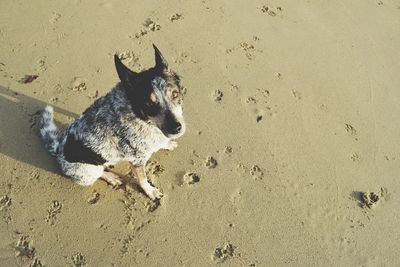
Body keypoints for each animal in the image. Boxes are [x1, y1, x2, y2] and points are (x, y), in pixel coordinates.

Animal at [39, 45, 186, 201]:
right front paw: (150, 191)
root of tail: (58, 150)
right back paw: (111, 177)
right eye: (149, 104)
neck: (140, 117)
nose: (176, 128)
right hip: (89, 172)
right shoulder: (137, 162)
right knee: (100, 173)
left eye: (175, 94)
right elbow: (143, 180)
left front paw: (167, 144)